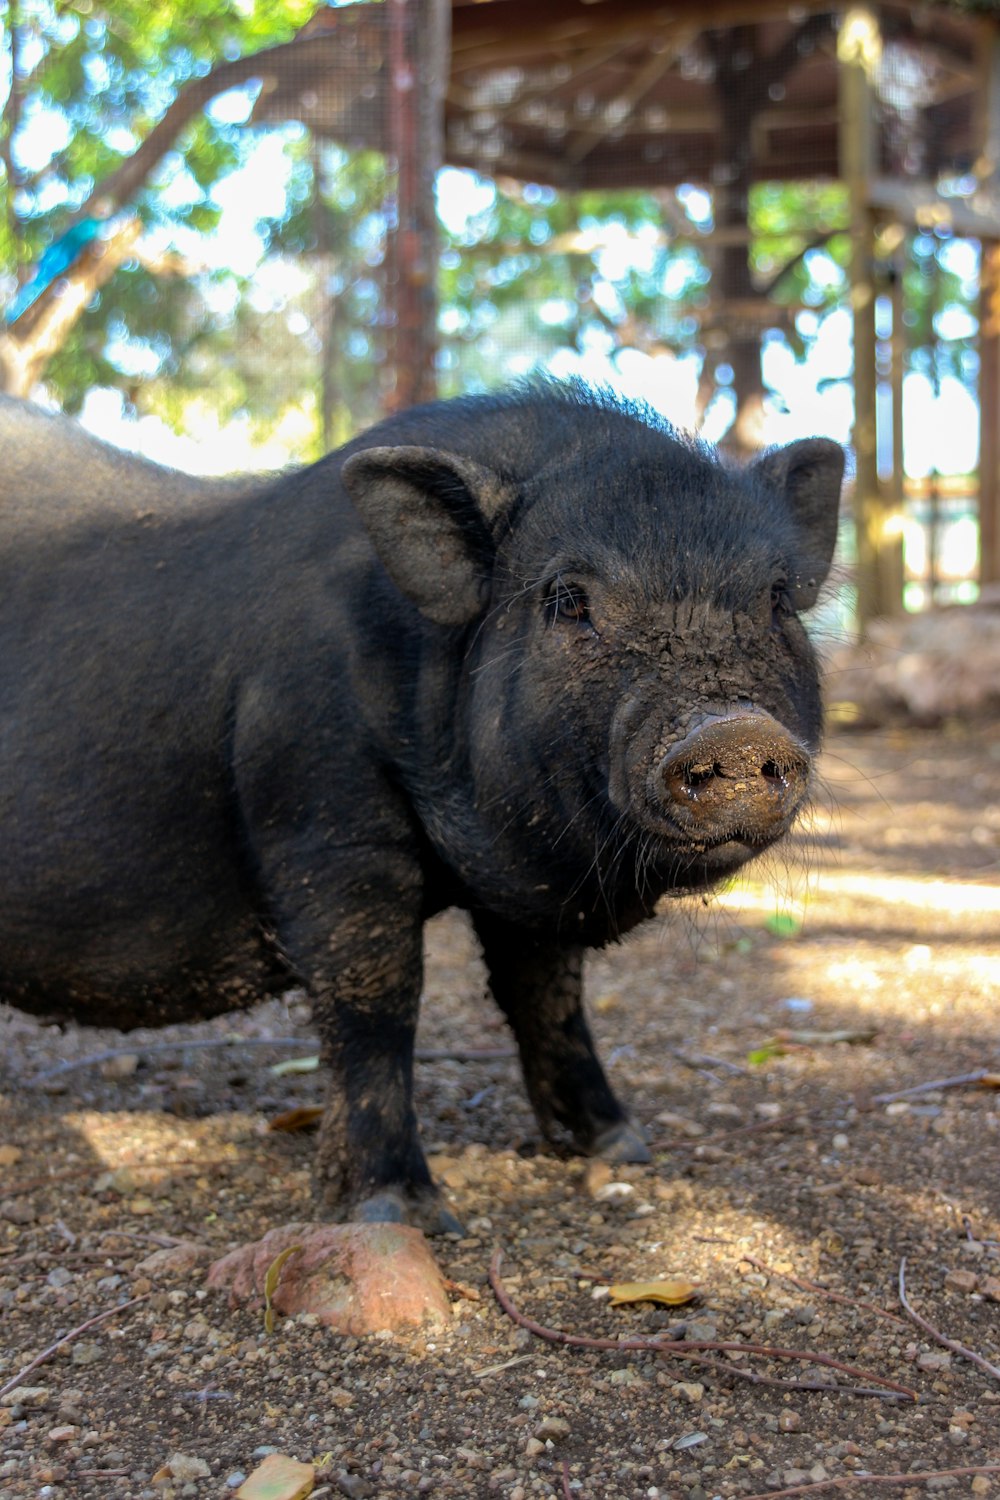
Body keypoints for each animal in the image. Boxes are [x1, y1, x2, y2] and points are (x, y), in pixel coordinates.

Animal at [0, 384, 845, 1230]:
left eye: (776, 600)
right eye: (568, 599)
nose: (734, 730)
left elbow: (547, 994)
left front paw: (620, 1147)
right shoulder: (325, 820)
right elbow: (377, 998)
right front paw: (403, 1213)